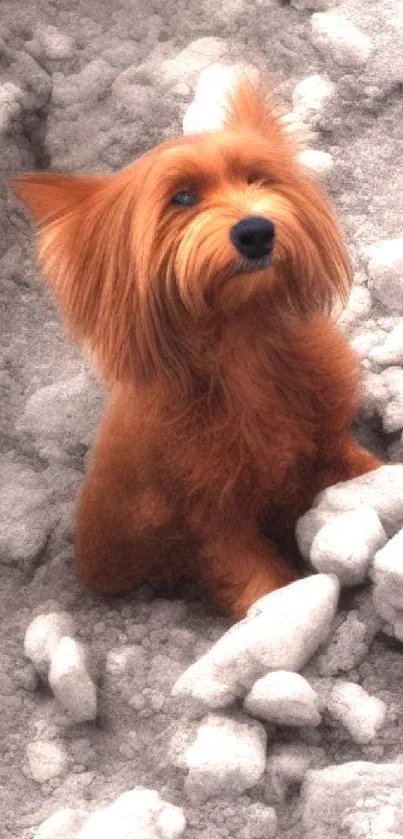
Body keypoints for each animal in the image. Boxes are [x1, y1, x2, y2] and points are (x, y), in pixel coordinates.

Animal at [11, 74, 382, 616]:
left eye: (256, 179)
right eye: (182, 198)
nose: (255, 230)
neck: (244, 347)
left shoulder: (332, 447)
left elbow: (372, 474)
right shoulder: (215, 519)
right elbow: (257, 584)